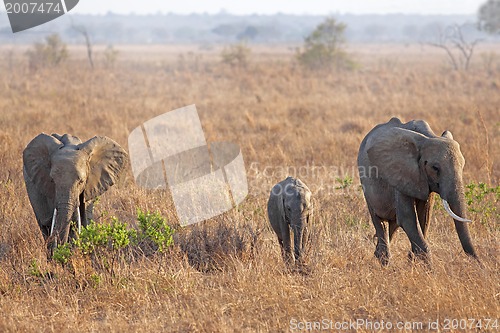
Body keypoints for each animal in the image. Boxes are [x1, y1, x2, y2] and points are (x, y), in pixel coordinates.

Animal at [358, 116, 478, 264]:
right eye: (435, 168)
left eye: (463, 166)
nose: (481, 264)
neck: (428, 137)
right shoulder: (401, 173)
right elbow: (408, 219)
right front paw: (427, 268)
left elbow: (424, 216)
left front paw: (413, 260)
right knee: (379, 221)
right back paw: (384, 261)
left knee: (392, 225)